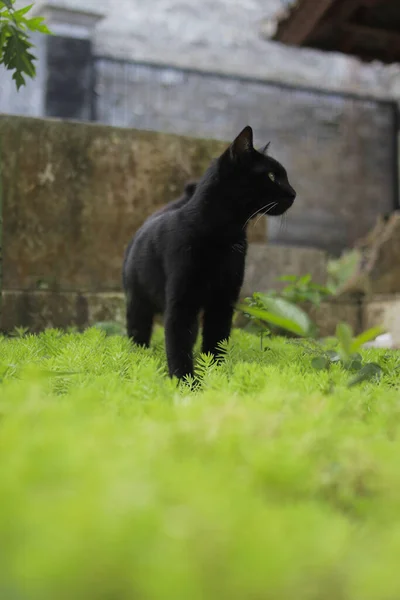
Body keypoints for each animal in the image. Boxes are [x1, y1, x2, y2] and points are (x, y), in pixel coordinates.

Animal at [123, 126, 296, 380]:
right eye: (273, 176)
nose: (294, 193)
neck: (225, 234)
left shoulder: (223, 301)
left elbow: (216, 340)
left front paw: (216, 375)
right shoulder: (182, 302)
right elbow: (178, 344)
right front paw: (185, 382)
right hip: (138, 302)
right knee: (138, 332)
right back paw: (138, 358)